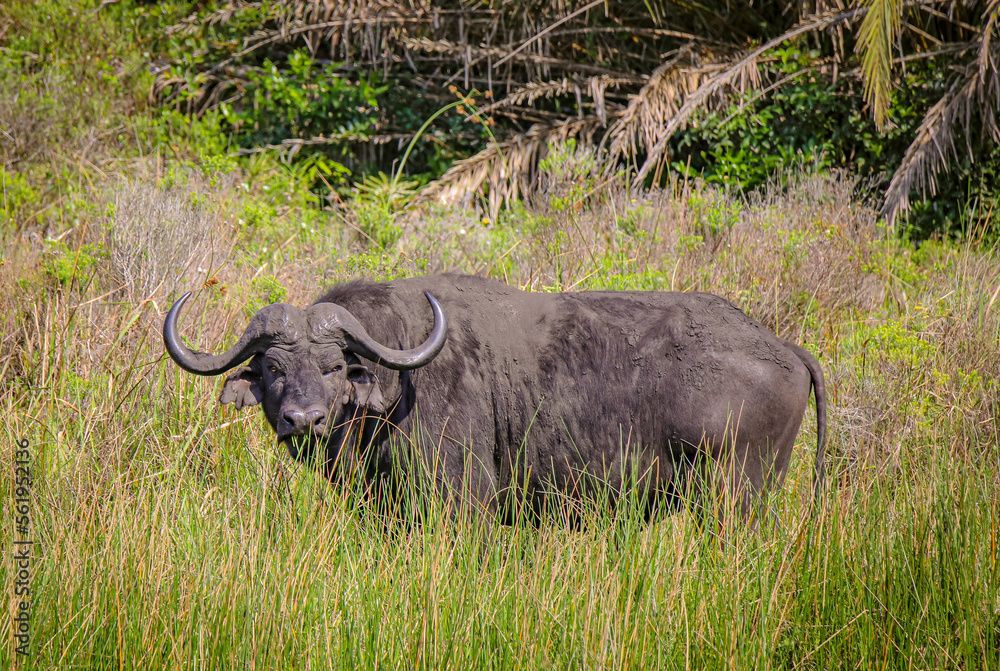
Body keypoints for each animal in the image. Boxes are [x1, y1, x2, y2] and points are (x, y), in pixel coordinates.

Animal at [164, 273, 826, 524]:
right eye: (274, 368)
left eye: (332, 367)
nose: (303, 419)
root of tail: (782, 346)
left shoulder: (467, 501)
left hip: (736, 495)